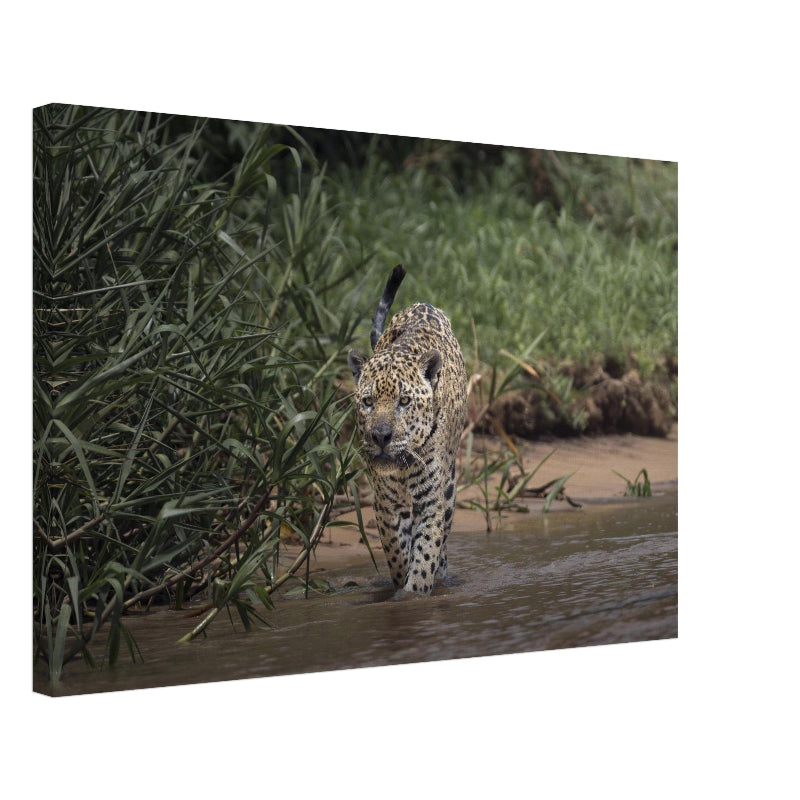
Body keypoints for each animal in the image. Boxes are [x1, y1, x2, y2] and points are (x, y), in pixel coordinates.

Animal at [348, 265, 468, 596]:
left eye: (404, 401)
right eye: (368, 402)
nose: (381, 437)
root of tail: (422, 303)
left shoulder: (431, 502)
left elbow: (425, 552)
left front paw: (413, 594)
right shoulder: (385, 504)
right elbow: (395, 550)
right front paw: (401, 584)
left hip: (449, 488)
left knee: (443, 541)